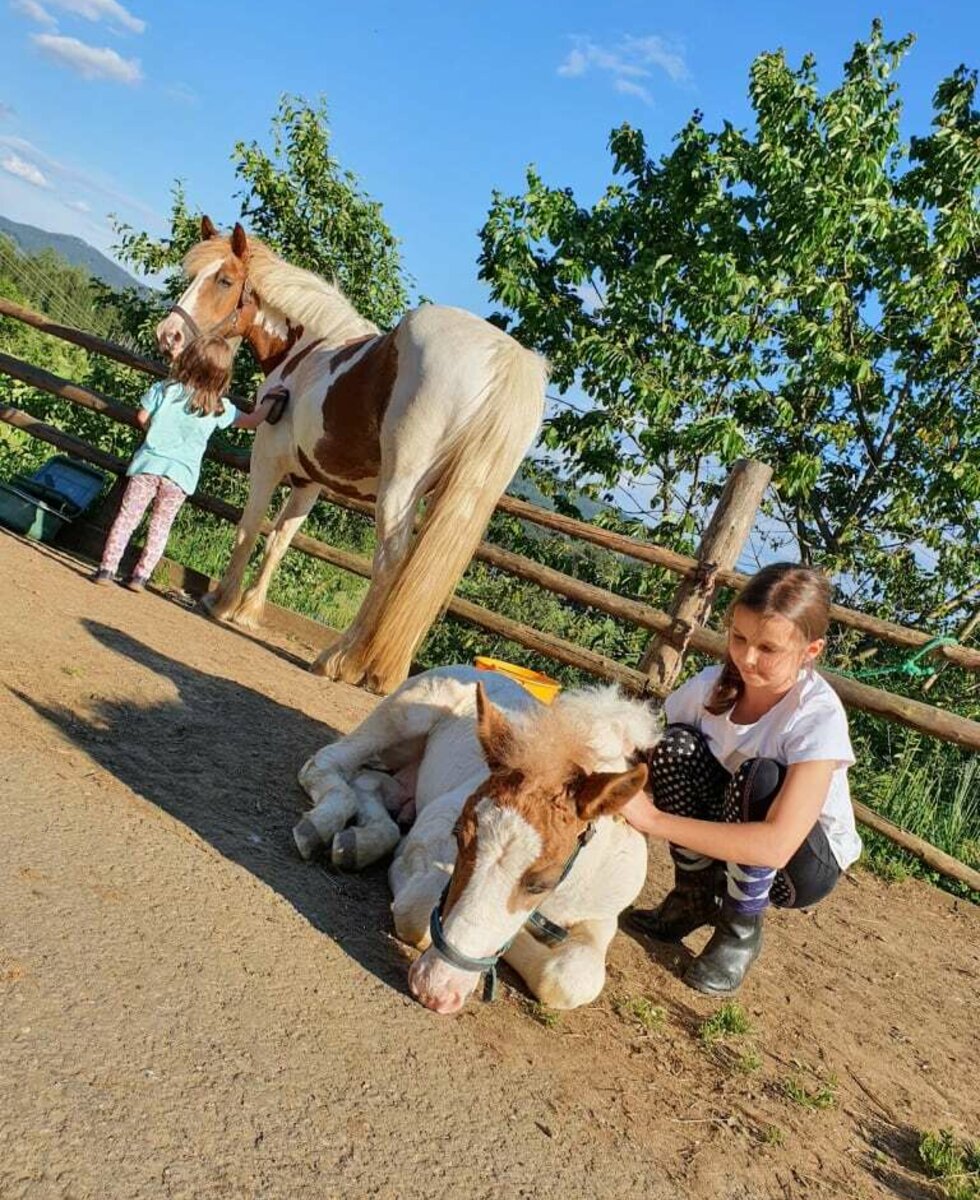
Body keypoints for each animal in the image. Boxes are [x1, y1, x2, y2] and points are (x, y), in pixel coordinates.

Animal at [157, 216, 546, 696]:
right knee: (419, 576)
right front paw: (248, 611)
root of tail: (504, 359)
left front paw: (221, 601)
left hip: (400, 489)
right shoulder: (310, 481)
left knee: (389, 564)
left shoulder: (267, 459)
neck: (307, 351)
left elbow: (248, 528)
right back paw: (383, 669)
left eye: (225, 280)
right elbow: (280, 540)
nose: (168, 336)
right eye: (193, 274)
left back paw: (338, 661)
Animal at [293, 667, 652, 1012]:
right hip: (401, 718)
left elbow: (571, 980)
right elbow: (418, 913)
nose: (434, 990)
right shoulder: (433, 827)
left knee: (370, 783)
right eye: (459, 835)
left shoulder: (603, 916)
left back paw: (357, 843)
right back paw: (321, 827)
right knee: (326, 763)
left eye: (541, 882)